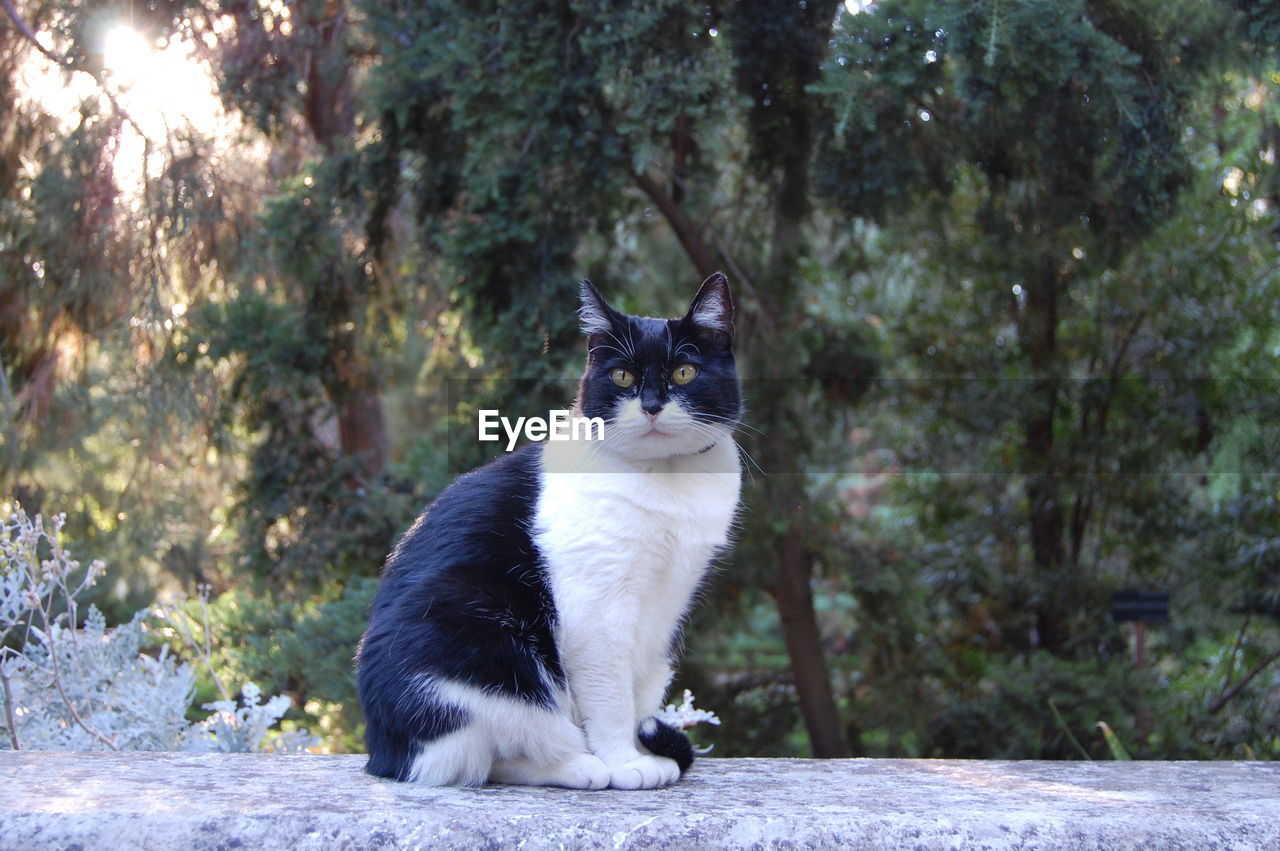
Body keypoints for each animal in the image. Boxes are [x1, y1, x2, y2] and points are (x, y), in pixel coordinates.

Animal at [355, 273, 747, 788]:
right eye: (623, 377)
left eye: (684, 373)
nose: (651, 407)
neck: (668, 480)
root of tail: (382, 753)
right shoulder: (595, 611)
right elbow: (611, 697)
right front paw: (624, 762)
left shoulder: (668, 602)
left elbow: (638, 689)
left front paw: (642, 752)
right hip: (477, 635)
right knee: (479, 751)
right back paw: (583, 766)